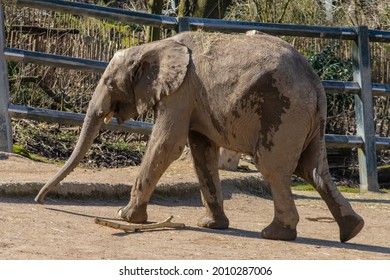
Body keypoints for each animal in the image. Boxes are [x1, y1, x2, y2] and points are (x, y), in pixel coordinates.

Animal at [35, 30, 364, 241]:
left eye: (108, 82)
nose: (40, 200)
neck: (155, 45)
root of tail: (316, 82)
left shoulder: (181, 92)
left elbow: (167, 145)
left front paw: (125, 217)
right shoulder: (193, 98)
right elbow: (201, 151)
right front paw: (210, 226)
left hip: (284, 110)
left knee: (274, 167)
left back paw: (275, 234)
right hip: (310, 118)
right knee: (313, 170)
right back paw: (352, 230)